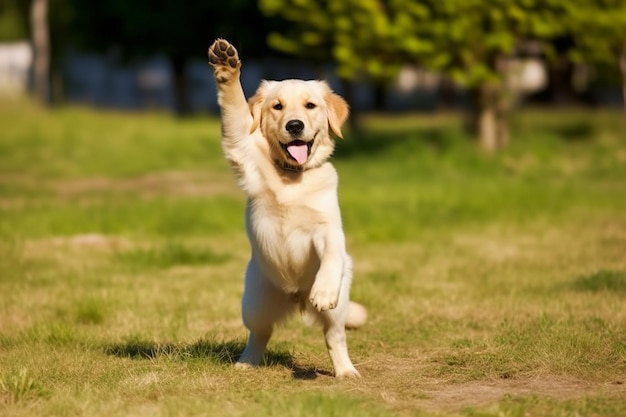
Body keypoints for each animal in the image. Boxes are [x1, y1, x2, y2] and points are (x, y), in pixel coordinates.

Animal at [208, 39, 366, 376]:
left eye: (310, 106)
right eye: (277, 106)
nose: (295, 126)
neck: (292, 177)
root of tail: (296, 297)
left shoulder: (328, 228)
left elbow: (331, 255)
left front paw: (323, 290)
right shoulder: (242, 146)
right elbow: (235, 109)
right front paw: (227, 65)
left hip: (339, 309)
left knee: (334, 337)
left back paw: (346, 370)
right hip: (254, 301)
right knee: (259, 334)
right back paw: (245, 363)